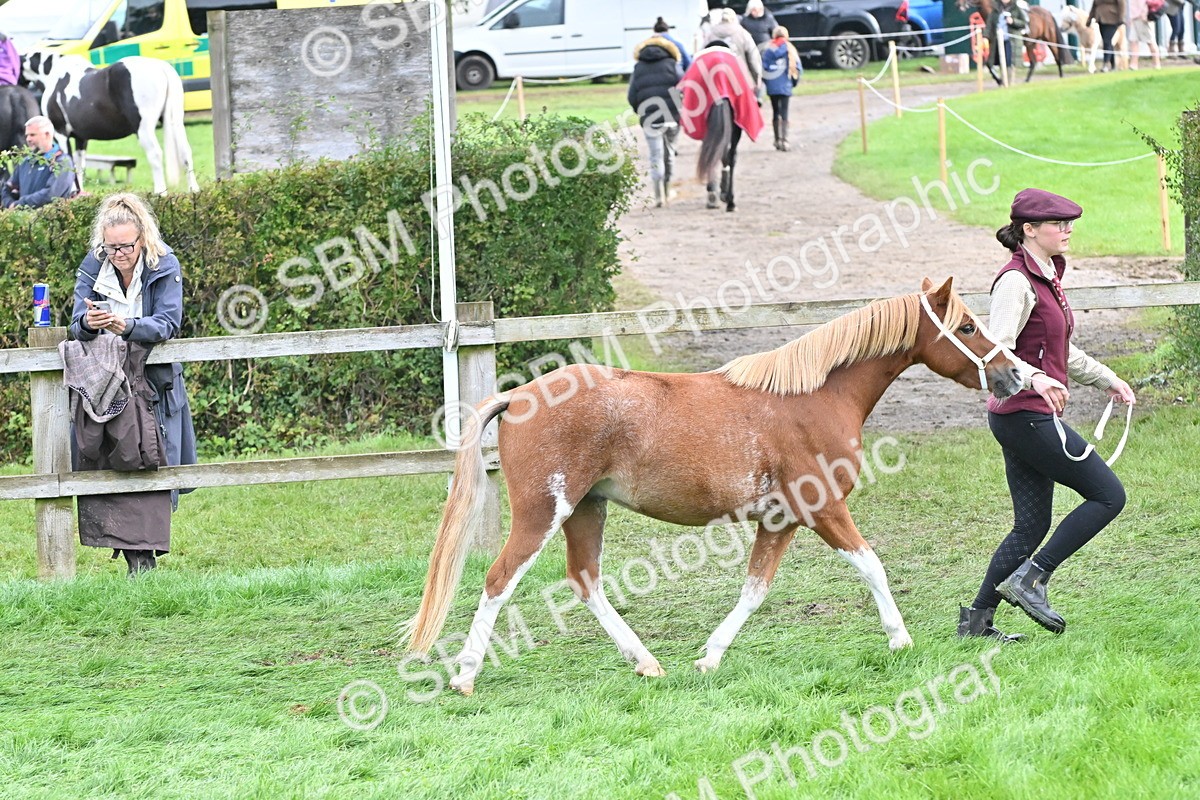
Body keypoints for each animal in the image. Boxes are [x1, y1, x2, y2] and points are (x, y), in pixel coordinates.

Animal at [20, 50, 199, 194]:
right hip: (176, 122)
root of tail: (161, 68)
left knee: (155, 155)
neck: (55, 77)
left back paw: (160, 193)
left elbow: (67, 163)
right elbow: (79, 167)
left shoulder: (61, 134)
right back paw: (194, 190)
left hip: (144, 129)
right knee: (186, 153)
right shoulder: (81, 139)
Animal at [402, 278, 1025, 695]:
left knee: (585, 581)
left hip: (586, 510)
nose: (1013, 374)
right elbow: (872, 565)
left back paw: (646, 662)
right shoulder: (823, 509)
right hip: (542, 513)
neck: (816, 397)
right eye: (968, 327)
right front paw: (900, 639)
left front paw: (709, 657)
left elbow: (754, 589)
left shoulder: (781, 520)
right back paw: (464, 676)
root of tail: (518, 396)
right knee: (498, 580)